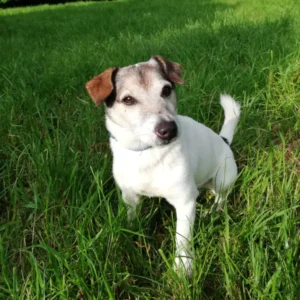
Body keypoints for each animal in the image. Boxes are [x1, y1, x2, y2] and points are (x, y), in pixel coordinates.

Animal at [85, 55, 240, 274]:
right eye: (128, 100)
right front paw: (129, 233)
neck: (147, 152)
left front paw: (183, 266)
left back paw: (210, 212)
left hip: (222, 178)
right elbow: (131, 217)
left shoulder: (185, 201)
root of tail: (224, 140)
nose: (169, 129)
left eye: (166, 90)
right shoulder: (129, 196)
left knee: (220, 199)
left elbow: (182, 237)